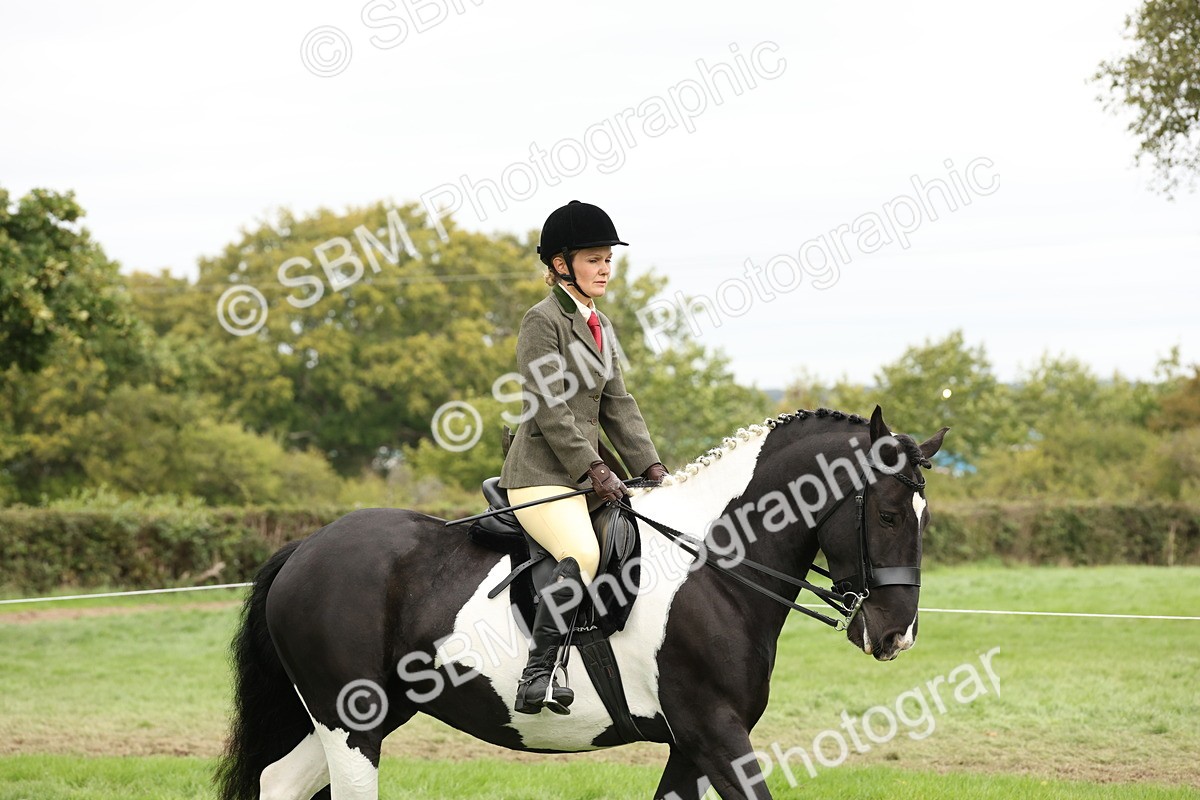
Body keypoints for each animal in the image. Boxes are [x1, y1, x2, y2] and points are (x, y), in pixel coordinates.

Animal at [215, 406, 947, 800]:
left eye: (923, 514)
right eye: (886, 513)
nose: (896, 635)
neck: (713, 564)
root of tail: (306, 548)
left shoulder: (691, 745)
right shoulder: (716, 733)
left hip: (370, 713)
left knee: (279, 781)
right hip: (351, 722)